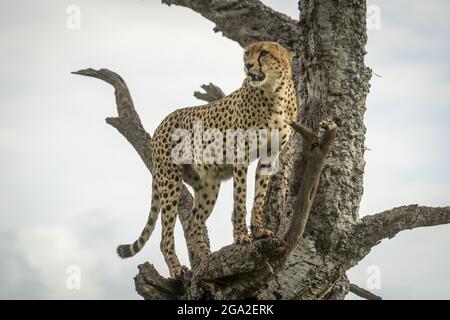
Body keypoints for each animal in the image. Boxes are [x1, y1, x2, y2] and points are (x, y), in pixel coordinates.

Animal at [118, 40, 298, 278]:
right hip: (170, 180)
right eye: (246, 54)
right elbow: (240, 199)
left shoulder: (269, 155)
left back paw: (207, 259)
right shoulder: (240, 153)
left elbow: (259, 196)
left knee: (193, 225)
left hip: (208, 185)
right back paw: (177, 269)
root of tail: (162, 123)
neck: (275, 92)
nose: (248, 65)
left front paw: (259, 230)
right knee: (166, 234)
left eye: (264, 53)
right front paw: (241, 236)